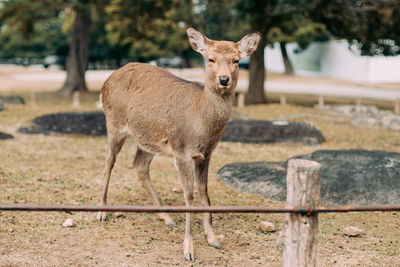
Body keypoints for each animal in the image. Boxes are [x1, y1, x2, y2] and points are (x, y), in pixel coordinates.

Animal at [97, 25, 262, 262]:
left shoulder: (206, 154)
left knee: (139, 166)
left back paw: (166, 217)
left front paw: (213, 238)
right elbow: (189, 194)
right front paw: (189, 249)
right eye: (210, 59)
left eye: (236, 60)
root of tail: (107, 81)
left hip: (149, 139)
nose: (224, 80)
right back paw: (102, 211)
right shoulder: (182, 151)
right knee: (109, 162)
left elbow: (204, 190)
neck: (201, 126)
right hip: (114, 123)